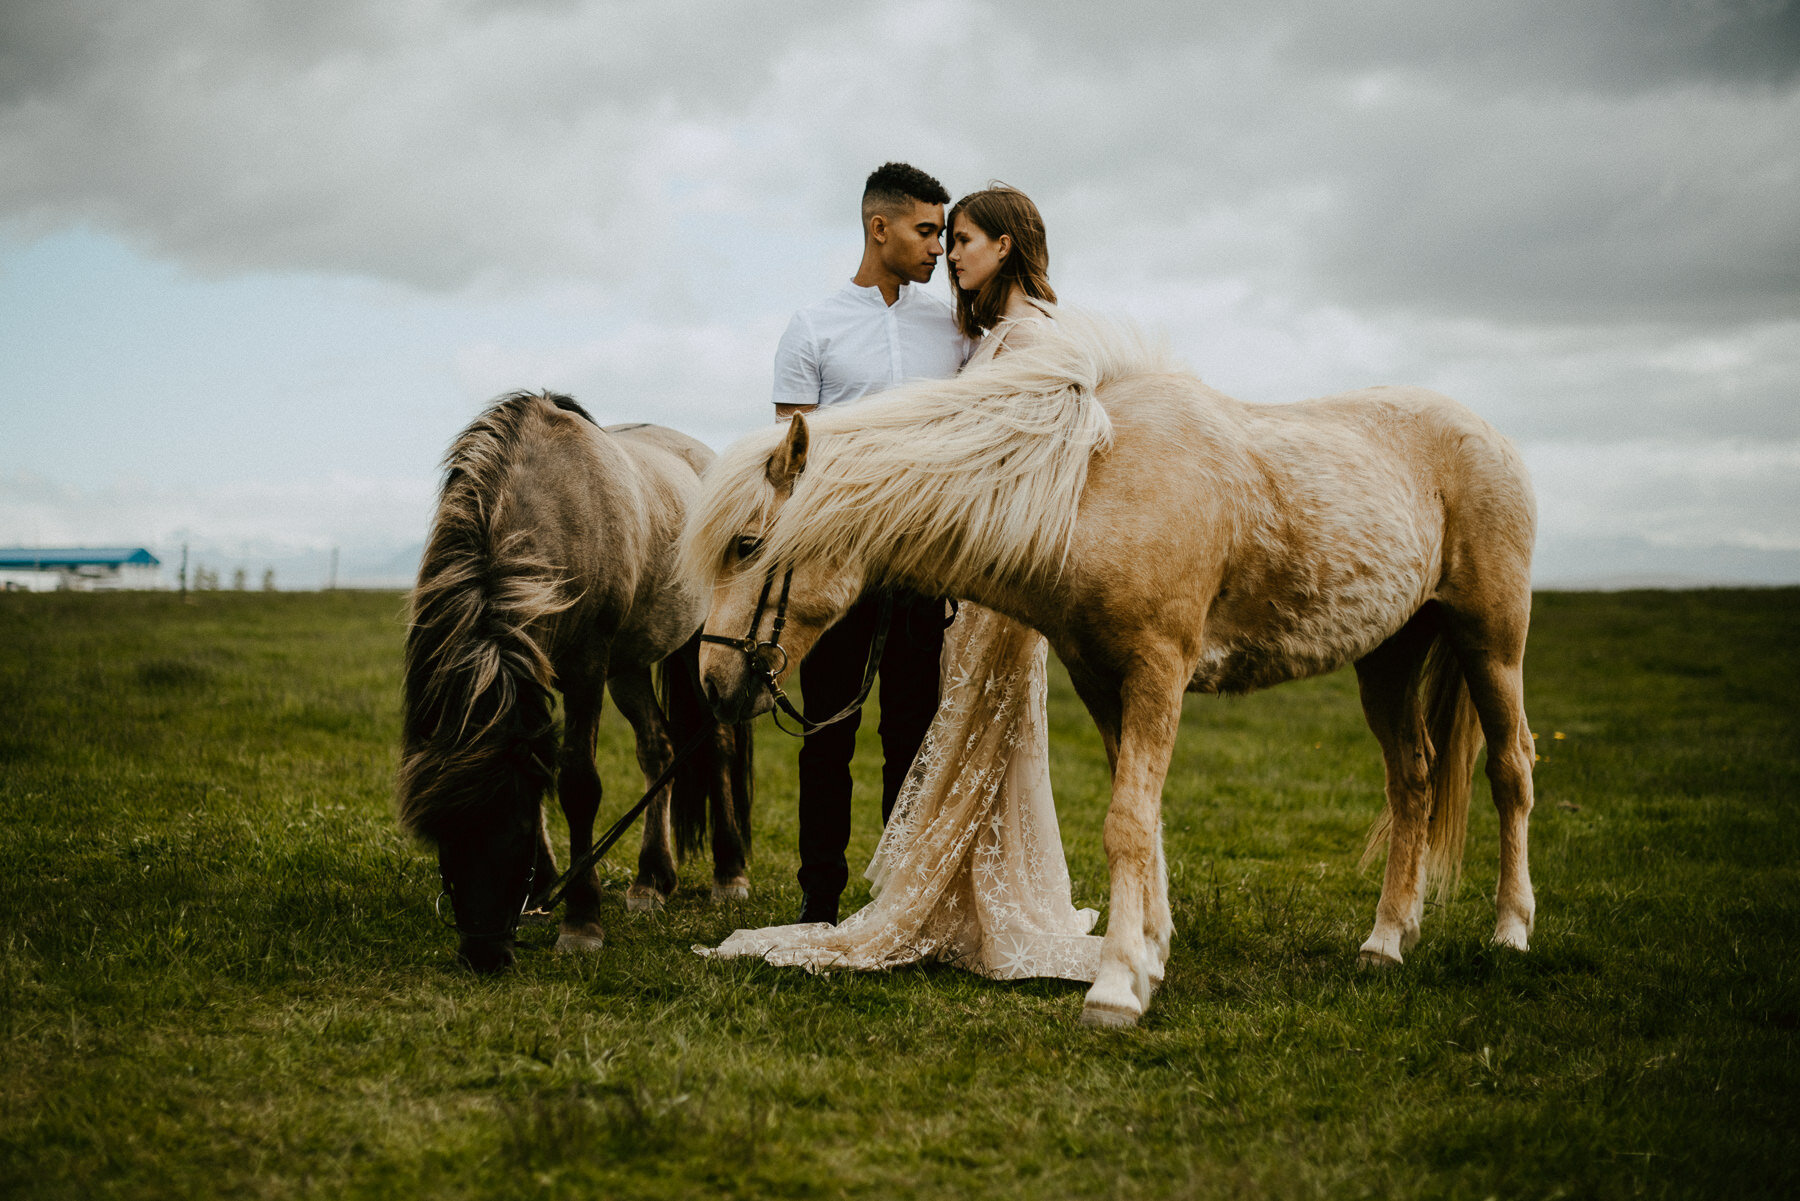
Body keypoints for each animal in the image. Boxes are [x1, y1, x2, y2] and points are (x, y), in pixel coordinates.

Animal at [399, 394, 752, 979]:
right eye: (444, 836)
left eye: (514, 832)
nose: (483, 956)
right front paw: (548, 889)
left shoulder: (586, 669)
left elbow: (578, 785)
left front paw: (582, 920)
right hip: (629, 665)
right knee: (658, 749)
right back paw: (651, 880)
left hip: (698, 643)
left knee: (718, 743)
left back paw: (729, 873)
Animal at [680, 315, 1540, 1029]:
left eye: (748, 544)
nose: (713, 684)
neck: (1090, 487)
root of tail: (1489, 434)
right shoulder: (1103, 681)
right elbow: (1143, 819)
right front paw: (1149, 950)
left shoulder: (1158, 670)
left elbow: (1128, 821)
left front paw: (1118, 985)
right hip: (1388, 657)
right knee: (1413, 782)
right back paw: (1387, 939)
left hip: (1490, 642)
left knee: (1510, 770)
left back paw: (1510, 930)